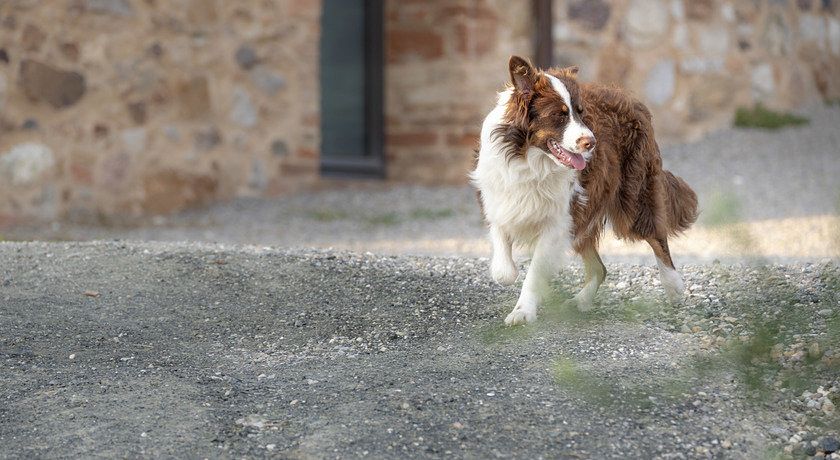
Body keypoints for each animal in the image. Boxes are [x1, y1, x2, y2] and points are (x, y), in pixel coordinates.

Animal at [470, 55, 700, 326]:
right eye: (558, 115)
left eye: (581, 113)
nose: (591, 142)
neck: (530, 160)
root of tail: (629, 97)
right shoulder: (499, 202)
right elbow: (503, 263)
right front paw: (510, 277)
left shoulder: (560, 220)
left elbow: (535, 271)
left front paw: (523, 311)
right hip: (586, 214)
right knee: (600, 268)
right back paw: (580, 301)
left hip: (633, 197)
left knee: (656, 236)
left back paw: (674, 286)